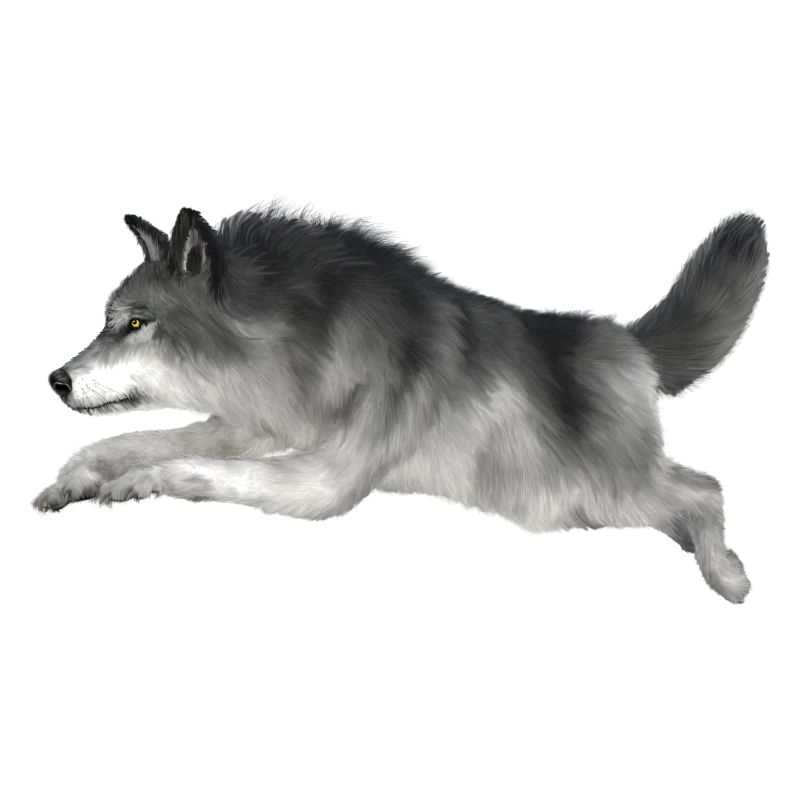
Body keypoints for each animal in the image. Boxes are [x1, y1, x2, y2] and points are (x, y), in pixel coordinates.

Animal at [33, 205, 768, 602]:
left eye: (136, 323)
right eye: (109, 322)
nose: (55, 380)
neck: (305, 338)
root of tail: (629, 341)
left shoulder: (324, 481)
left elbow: (193, 468)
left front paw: (133, 484)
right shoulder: (255, 425)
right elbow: (131, 441)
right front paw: (74, 479)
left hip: (592, 493)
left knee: (705, 488)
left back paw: (728, 576)